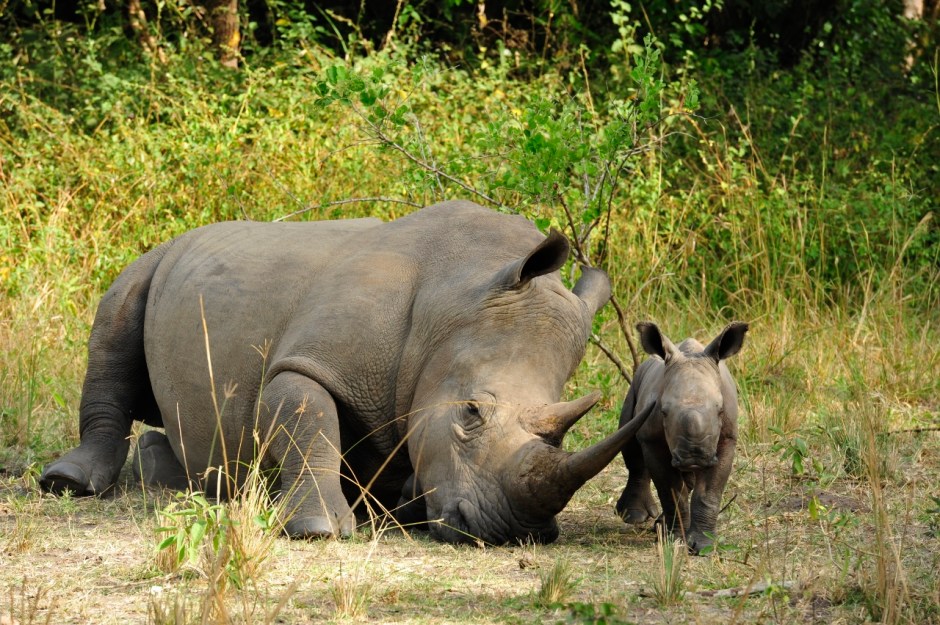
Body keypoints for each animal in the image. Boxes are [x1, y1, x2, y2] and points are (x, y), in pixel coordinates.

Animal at [39, 200, 653, 545]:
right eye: (472, 412)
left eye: (564, 432)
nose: (513, 533)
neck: (458, 296)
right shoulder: (309, 360)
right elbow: (306, 414)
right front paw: (319, 532)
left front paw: (404, 507)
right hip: (156, 257)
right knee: (117, 315)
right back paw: (68, 484)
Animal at [615, 321, 748, 554]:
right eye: (664, 411)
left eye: (720, 411)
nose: (694, 455)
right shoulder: (653, 441)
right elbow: (671, 492)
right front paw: (676, 541)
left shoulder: (727, 440)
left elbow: (708, 493)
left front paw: (704, 546)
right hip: (634, 387)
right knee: (631, 446)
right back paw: (635, 518)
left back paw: (659, 525)